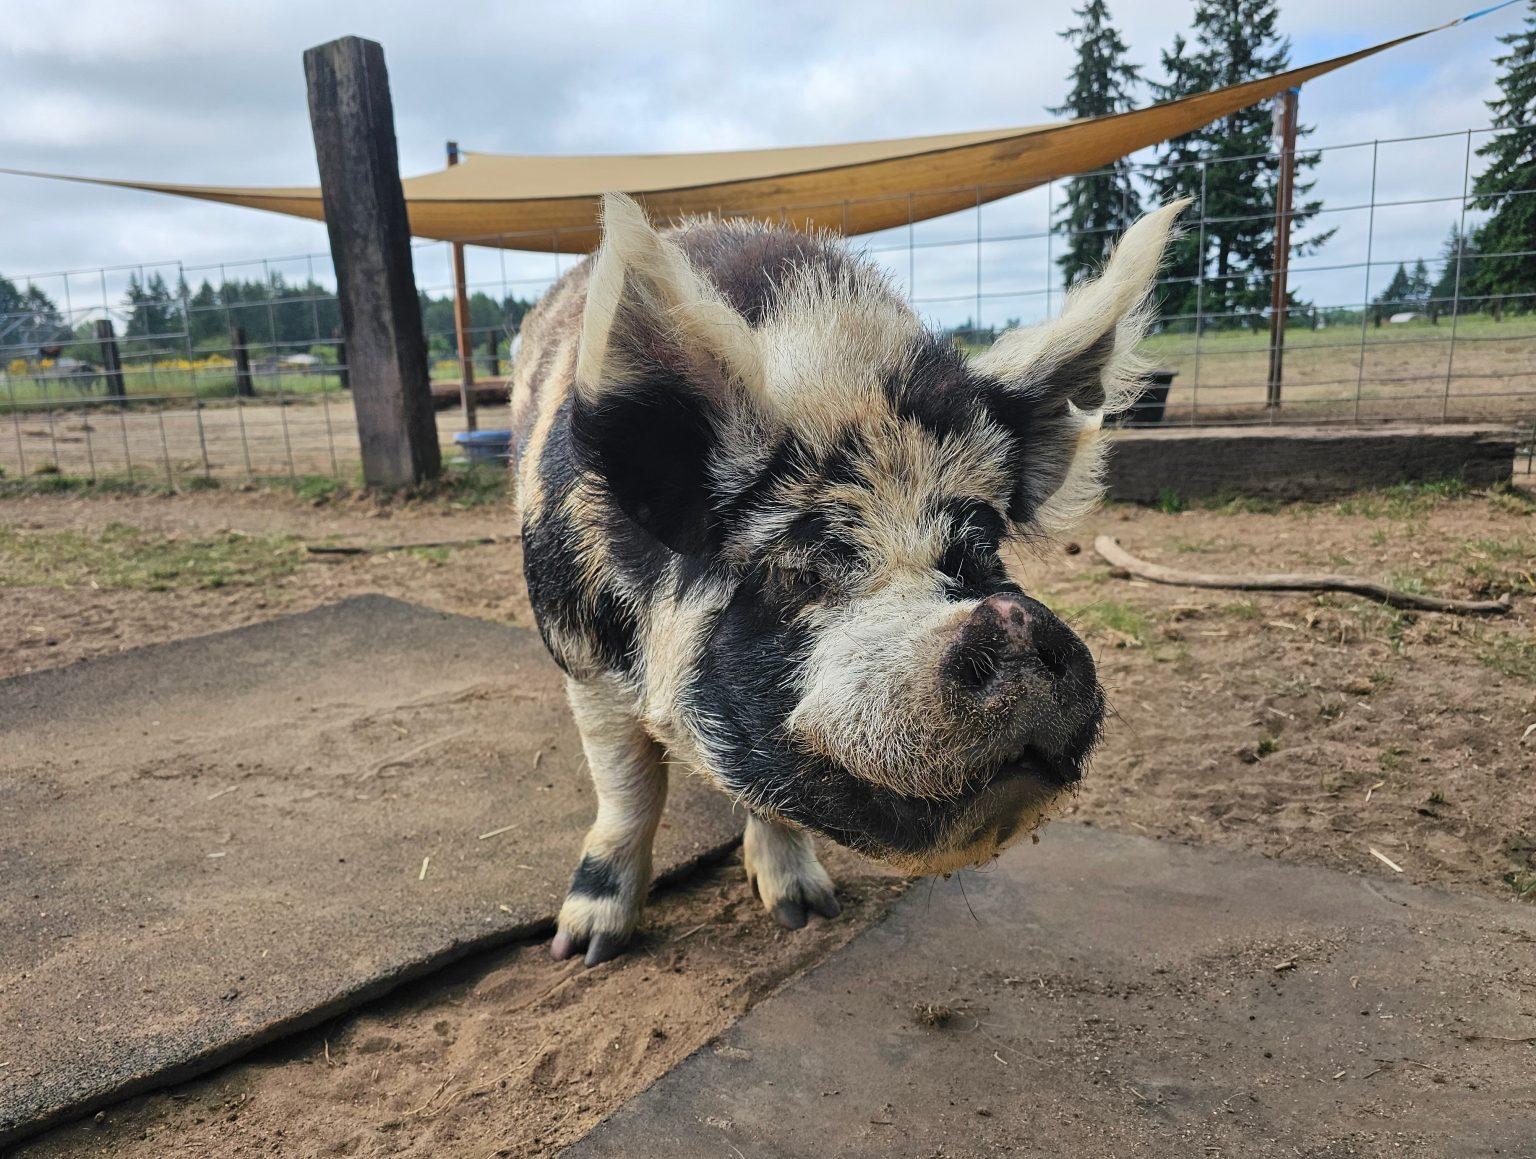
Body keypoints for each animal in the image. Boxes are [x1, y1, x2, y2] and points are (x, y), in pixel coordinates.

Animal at [510, 193, 1186, 965]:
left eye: (980, 549)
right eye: (802, 569)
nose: (1011, 620)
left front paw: (806, 911)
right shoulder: (579, 649)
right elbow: (628, 787)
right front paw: (585, 949)